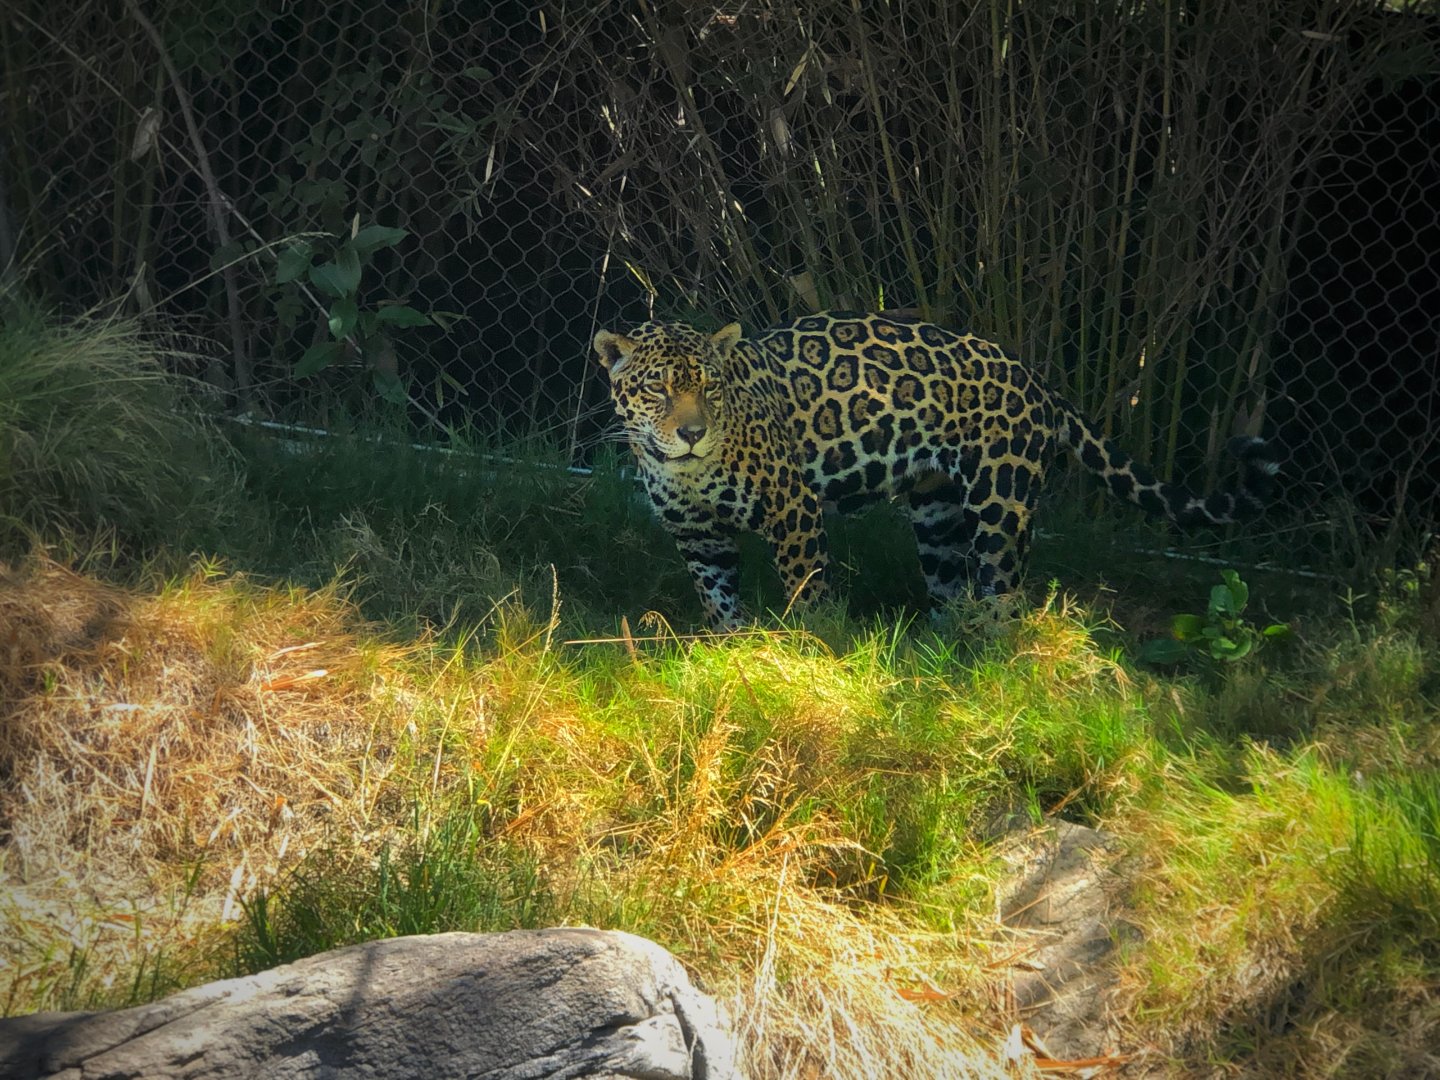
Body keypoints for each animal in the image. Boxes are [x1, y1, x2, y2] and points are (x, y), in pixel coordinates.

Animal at [593, 311, 1277, 630]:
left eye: (710, 388)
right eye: (658, 389)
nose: (692, 433)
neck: (682, 471)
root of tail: (1040, 384)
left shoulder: (794, 510)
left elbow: (808, 591)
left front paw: (814, 648)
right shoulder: (698, 537)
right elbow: (717, 600)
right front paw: (732, 650)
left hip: (1001, 505)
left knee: (1006, 598)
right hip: (937, 511)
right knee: (951, 588)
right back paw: (936, 661)